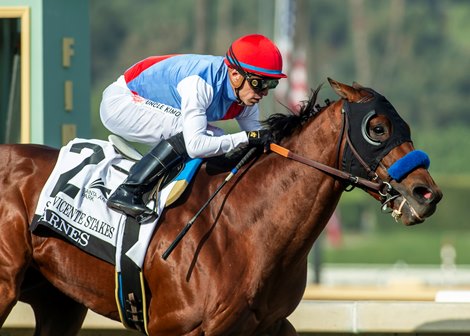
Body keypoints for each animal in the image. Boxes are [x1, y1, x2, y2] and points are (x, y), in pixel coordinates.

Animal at [0, 79, 440, 336]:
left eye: (405, 126)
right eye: (377, 128)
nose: (427, 194)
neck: (242, 227)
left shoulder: (270, 326)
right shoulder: (177, 327)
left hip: (58, 301)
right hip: (6, 284)